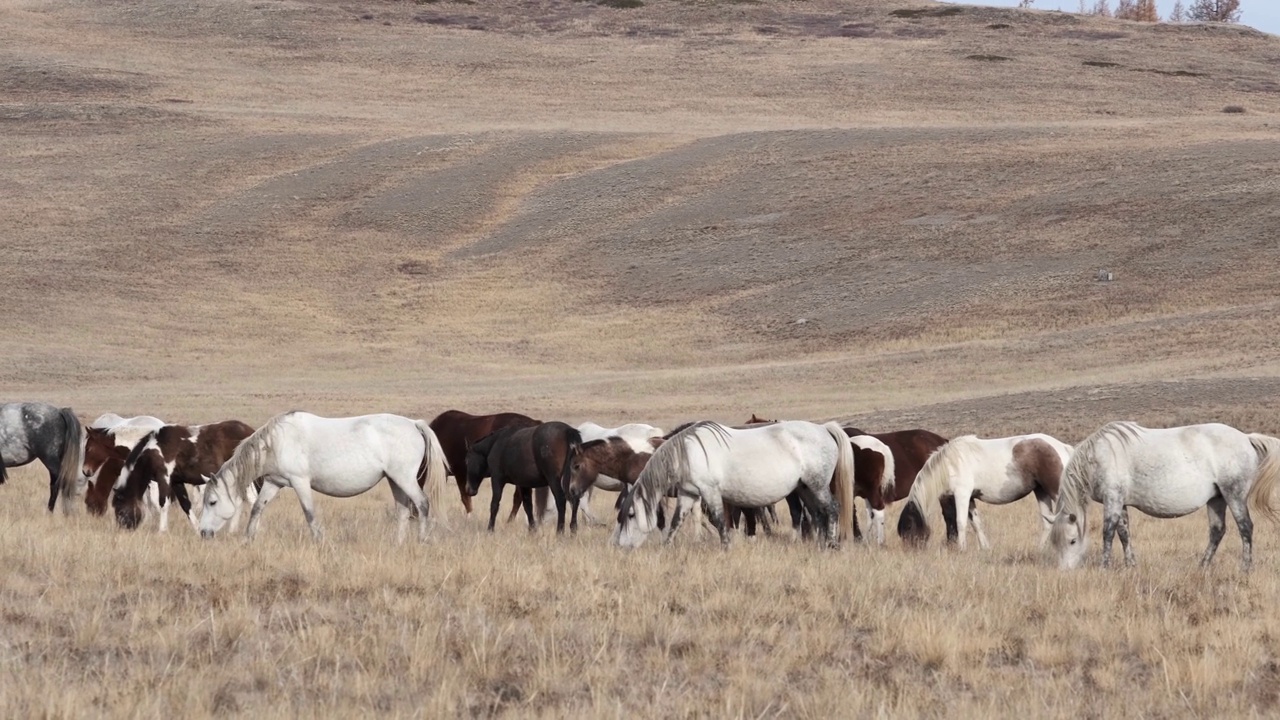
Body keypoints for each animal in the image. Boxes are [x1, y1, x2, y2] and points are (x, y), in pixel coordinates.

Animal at [113, 417, 256, 530]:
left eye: (120, 510)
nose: (124, 529)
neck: (154, 449)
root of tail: (250, 431)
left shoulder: (164, 478)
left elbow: (163, 503)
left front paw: (162, 530)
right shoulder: (176, 482)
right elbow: (185, 505)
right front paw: (197, 528)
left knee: (252, 499)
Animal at [194, 409, 445, 538]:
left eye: (212, 502)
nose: (204, 532)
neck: (278, 441)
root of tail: (414, 424)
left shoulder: (300, 482)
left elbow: (309, 514)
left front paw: (320, 542)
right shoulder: (274, 482)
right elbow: (257, 509)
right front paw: (248, 540)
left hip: (405, 479)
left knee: (422, 504)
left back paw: (422, 540)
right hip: (394, 480)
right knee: (403, 510)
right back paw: (398, 543)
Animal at [614, 417, 855, 545]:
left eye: (631, 515)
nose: (621, 546)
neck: (688, 453)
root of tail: (824, 428)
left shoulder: (710, 492)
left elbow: (721, 520)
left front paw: (726, 547)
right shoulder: (688, 494)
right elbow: (676, 522)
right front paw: (667, 546)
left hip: (818, 486)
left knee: (832, 509)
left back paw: (831, 545)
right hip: (804, 488)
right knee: (817, 514)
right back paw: (820, 544)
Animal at [901, 430, 1070, 548]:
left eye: (908, 527)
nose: (909, 552)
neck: (950, 464)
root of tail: (1063, 447)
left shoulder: (962, 495)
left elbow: (961, 522)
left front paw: (962, 549)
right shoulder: (970, 498)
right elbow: (977, 523)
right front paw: (985, 548)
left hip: (1056, 492)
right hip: (1041, 492)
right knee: (1048, 522)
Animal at [1049, 420, 1280, 566]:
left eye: (1072, 541)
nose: (1065, 571)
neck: (1098, 456)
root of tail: (1247, 438)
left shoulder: (1112, 499)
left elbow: (1108, 533)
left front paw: (1104, 567)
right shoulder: (1121, 503)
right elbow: (1124, 533)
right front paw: (1130, 565)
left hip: (1234, 495)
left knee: (1245, 528)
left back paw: (1245, 568)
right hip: (1217, 499)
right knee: (1217, 531)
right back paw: (1202, 566)